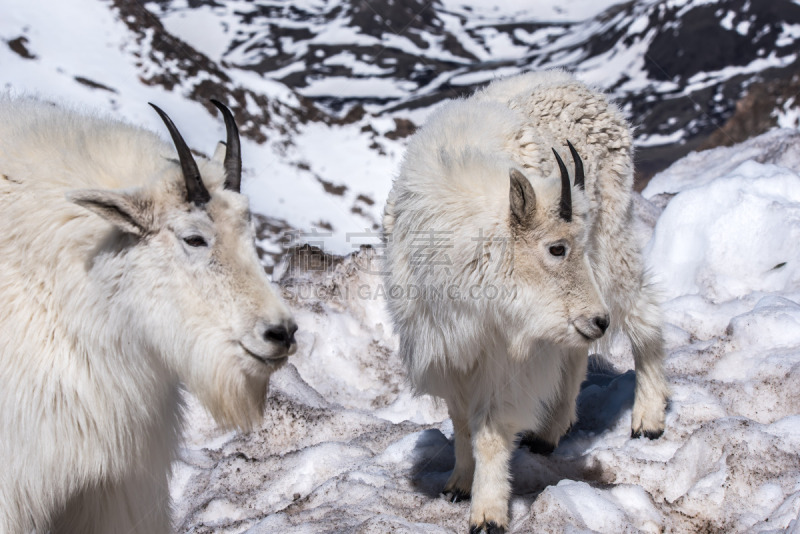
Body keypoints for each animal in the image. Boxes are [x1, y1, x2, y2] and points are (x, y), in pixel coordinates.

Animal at [382, 70, 668, 532]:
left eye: (569, 247)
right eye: (556, 248)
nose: (599, 321)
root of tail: (594, 94)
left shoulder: (509, 359)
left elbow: (491, 431)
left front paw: (488, 514)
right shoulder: (451, 345)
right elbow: (462, 422)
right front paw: (458, 485)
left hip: (611, 239)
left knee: (644, 311)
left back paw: (648, 420)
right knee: (574, 353)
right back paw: (549, 433)